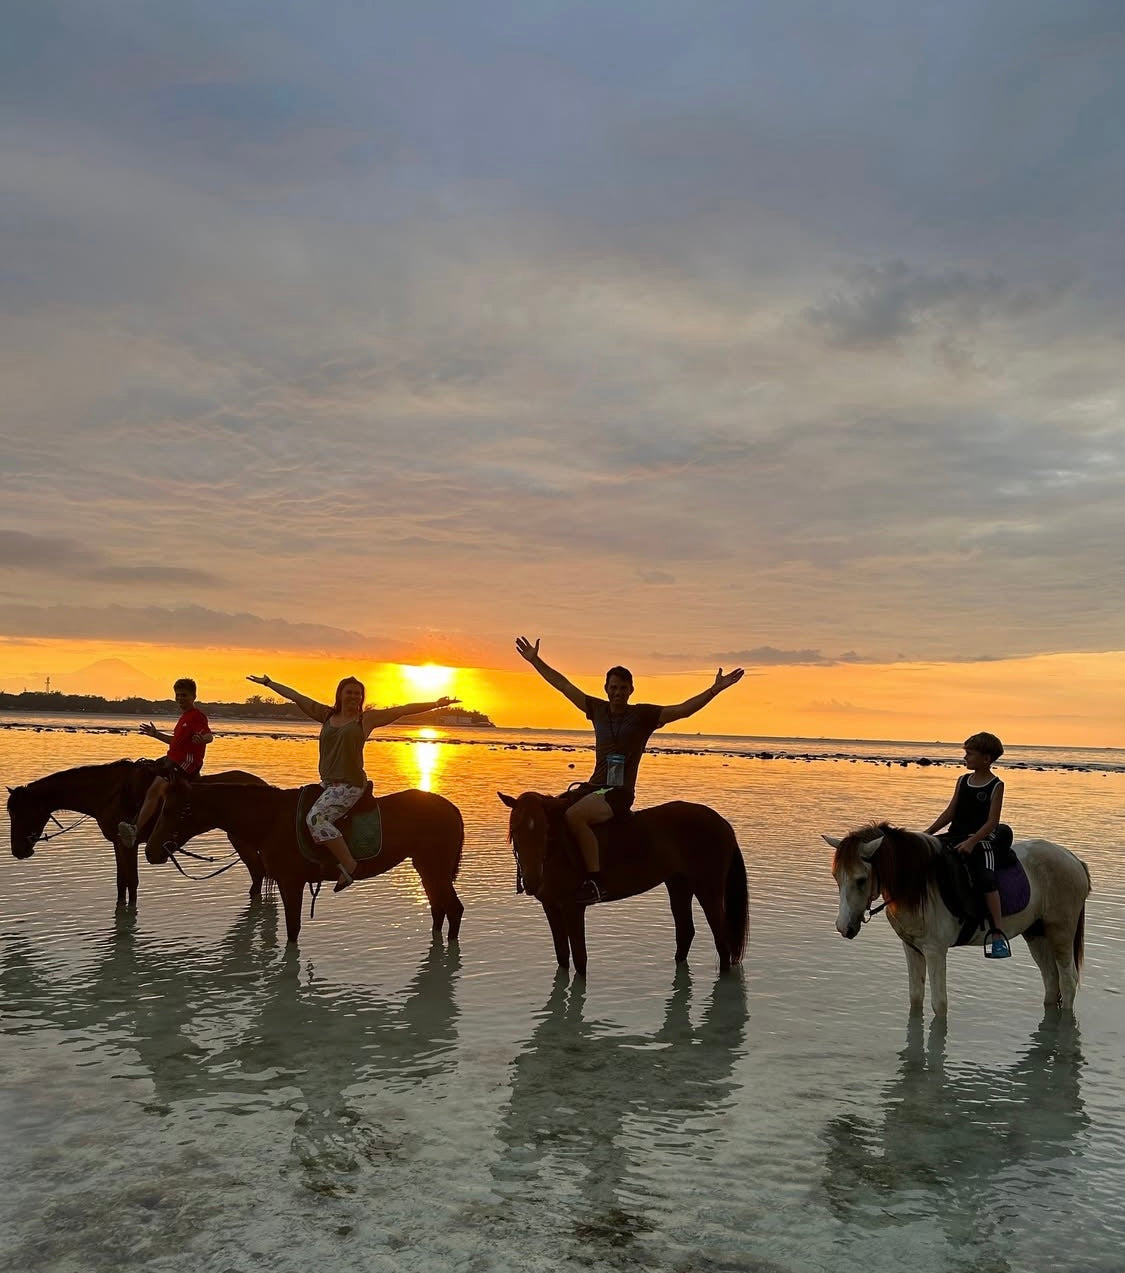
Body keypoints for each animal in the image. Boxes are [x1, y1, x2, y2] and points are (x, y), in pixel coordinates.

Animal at [6, 758, 270, 906]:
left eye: (21, 812)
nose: (18, 850)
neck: (109, 793)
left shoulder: (127, 844)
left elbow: (131, 881)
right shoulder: (117, 843)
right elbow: (122, 882)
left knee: (258, 872)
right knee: (258, 874)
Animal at [146, 771, 465, 946]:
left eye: (173, 810)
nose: (150, 851)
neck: (271, 819)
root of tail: (452, 809)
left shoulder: (291, 883)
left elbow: (292, 930)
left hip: (434, 867)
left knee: (453, 909)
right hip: (425, 867)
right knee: (439, 908)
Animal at [498, 790, 748, 977]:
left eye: (545, 829)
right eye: (515, 829)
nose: (532, 880)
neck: (557, 850)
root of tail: (723, 823)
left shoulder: (573, 908)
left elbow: (580, 959)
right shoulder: (550, 907)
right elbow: (562, 957)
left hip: (708, 890)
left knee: (721, 938)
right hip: (678, 884)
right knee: (686, 931)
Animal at [824, 822, 1091, 1015]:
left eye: (861, 880)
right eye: (836, 876)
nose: (843, 927)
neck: (918, 884)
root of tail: (1073, 859)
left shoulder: (935, 951)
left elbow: (939, 1003)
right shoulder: (911, 948)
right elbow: (915, 998)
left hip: (1061, 932)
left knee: (1068, 982)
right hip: (1036, 933)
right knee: (1051, 981)